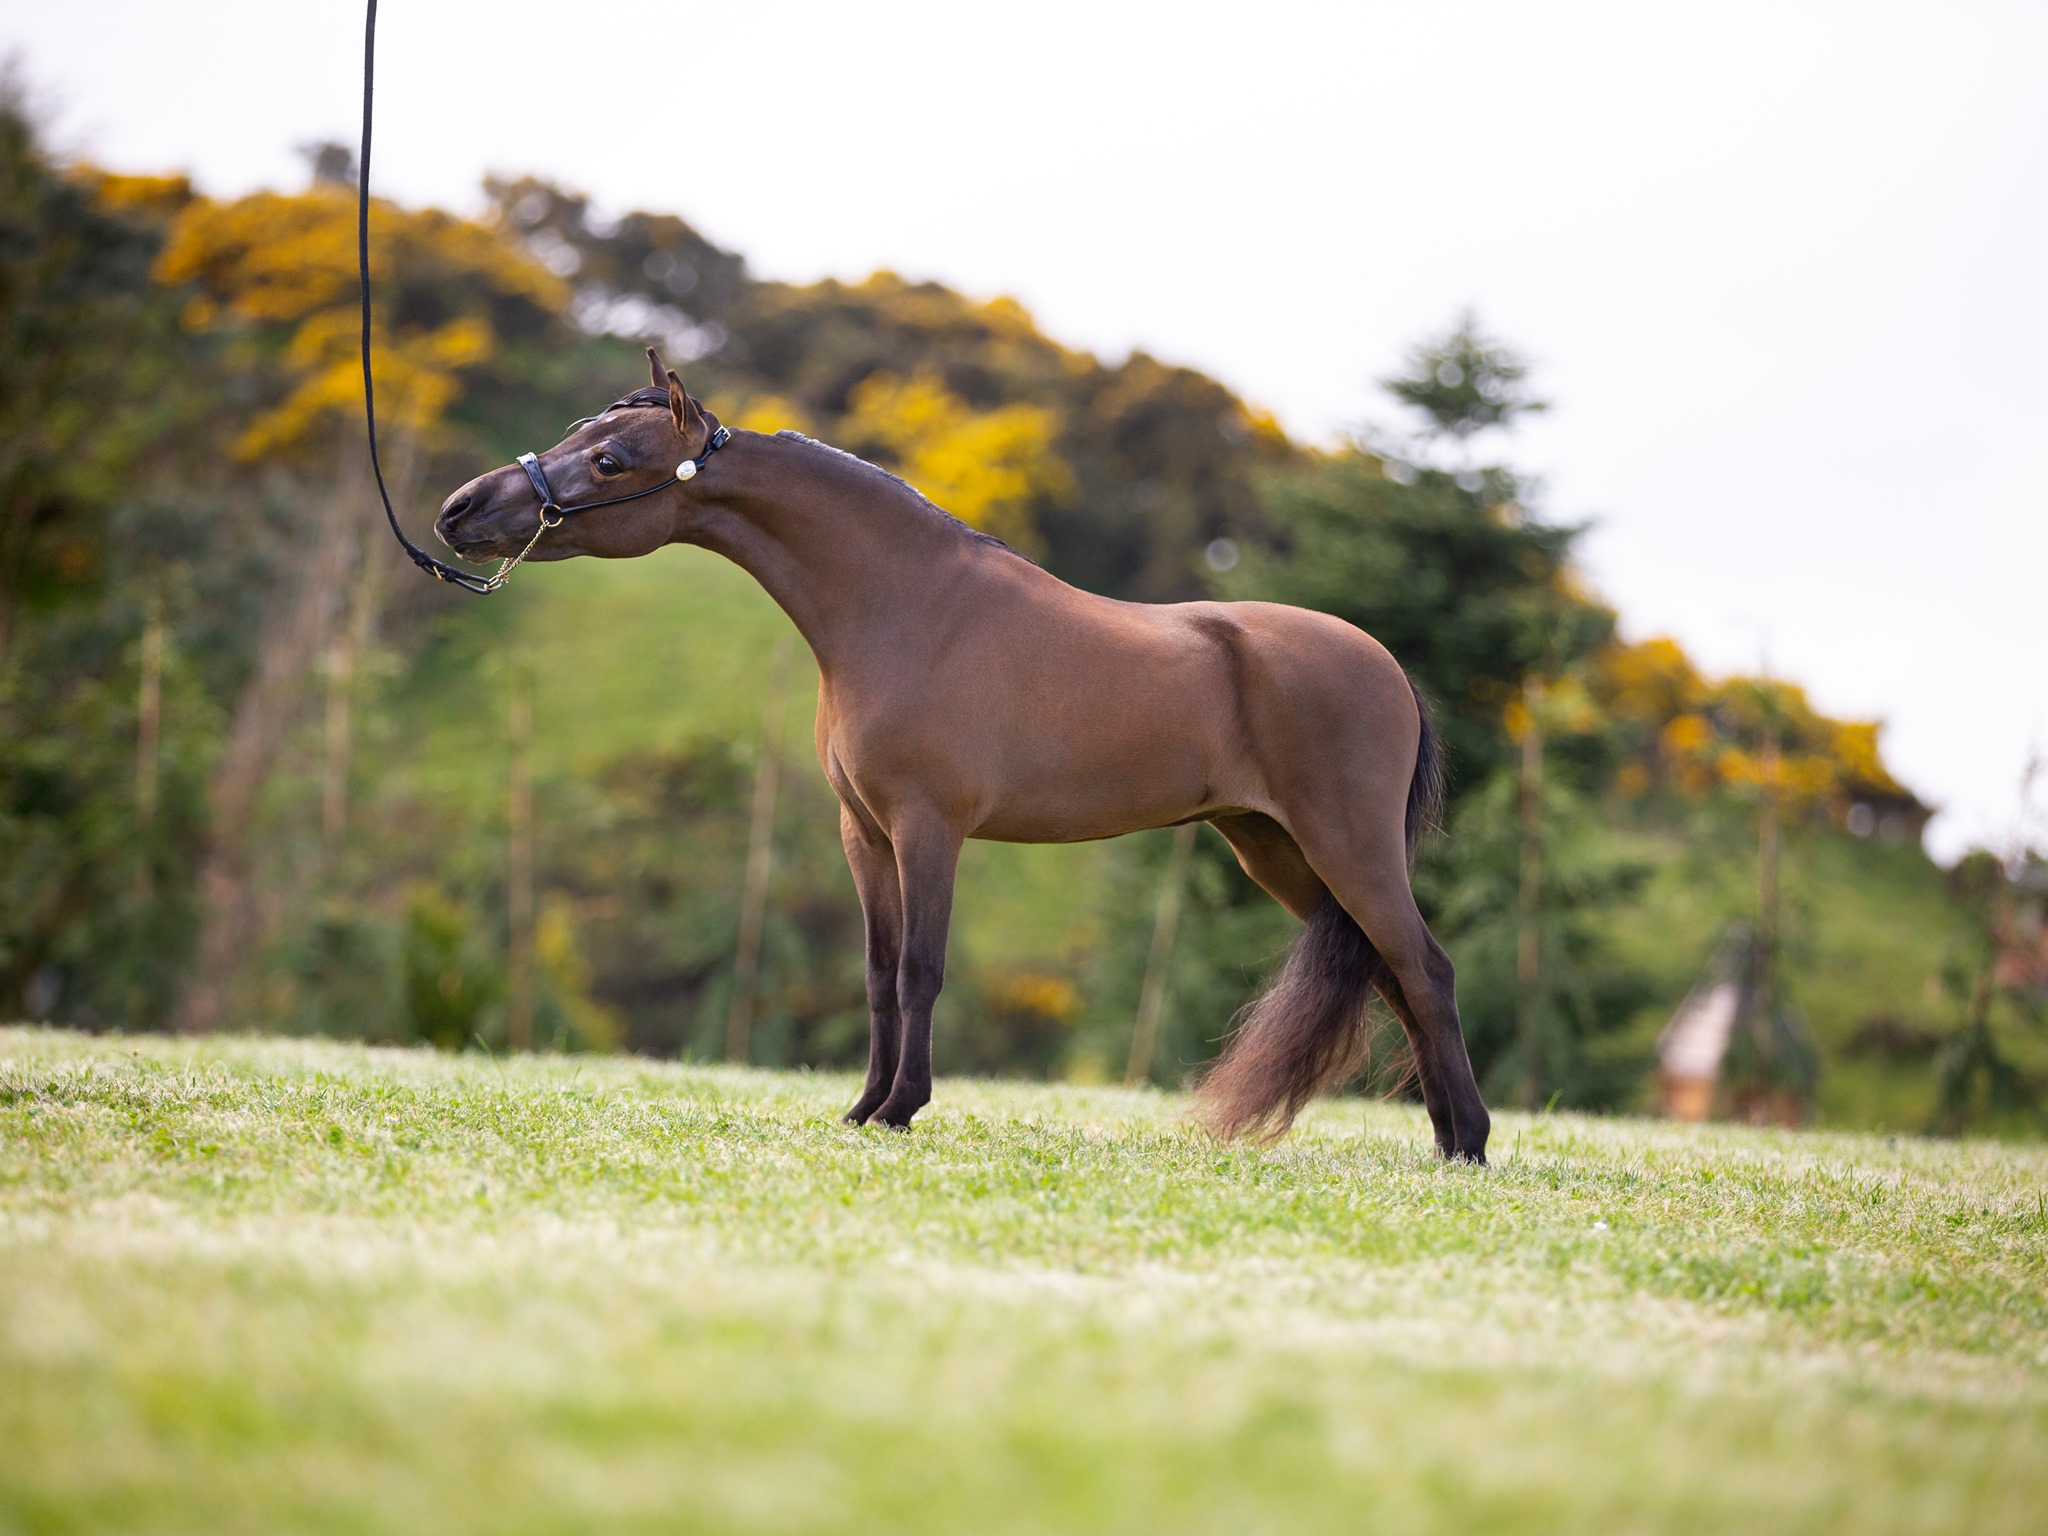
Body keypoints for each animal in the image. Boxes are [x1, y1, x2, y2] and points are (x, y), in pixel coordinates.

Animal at [435, 350, 1491, 1161]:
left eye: (609, 457)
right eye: (578, 430)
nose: (458, 510)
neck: (905, 605)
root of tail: (1388, 669)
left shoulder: (927, 828)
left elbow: (922, 968)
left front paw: (903, 1110)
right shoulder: (864, 834)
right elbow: (876, 970)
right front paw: (863, 1108)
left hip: (1346, 846)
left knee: (1427, 969)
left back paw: (1471, 1144)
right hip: (1274, 851)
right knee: (1391, 973)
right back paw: (1445, 1138)